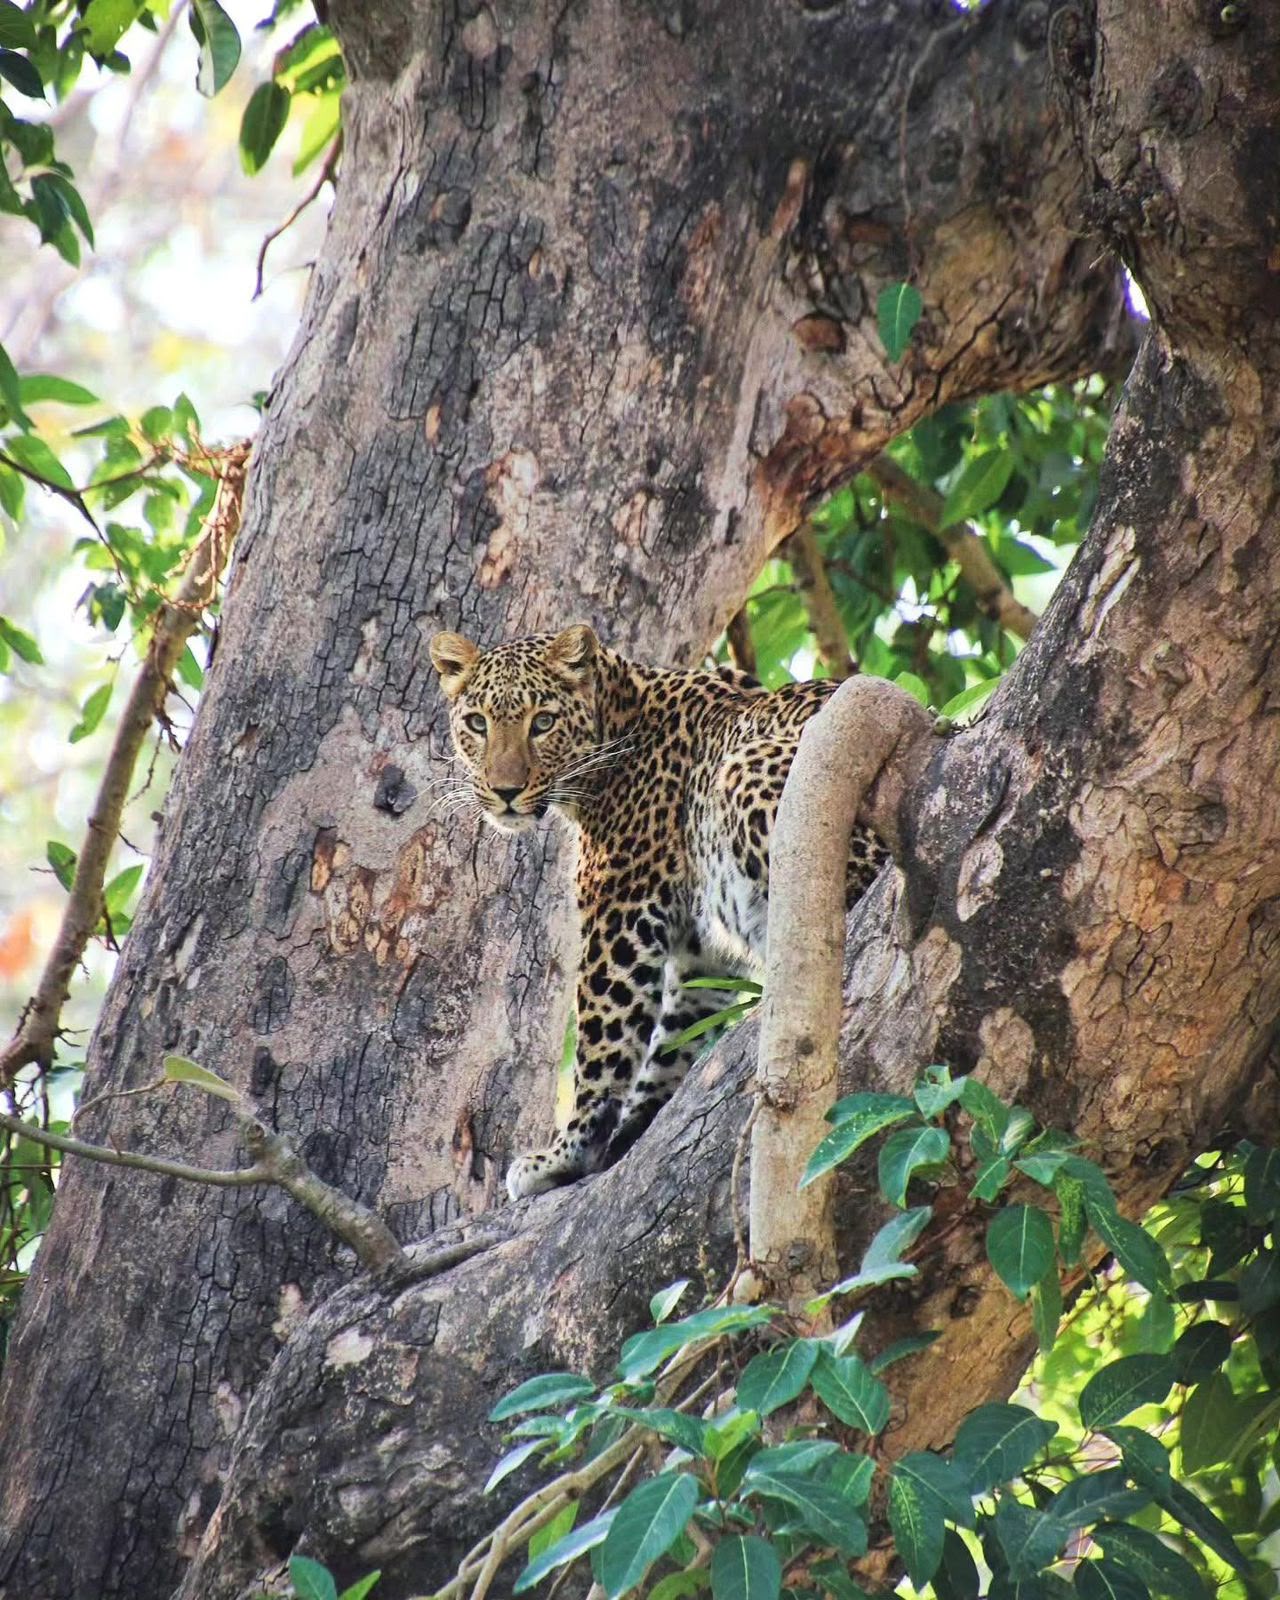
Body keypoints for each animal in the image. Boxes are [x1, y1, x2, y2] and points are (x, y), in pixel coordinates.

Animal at [429, 623, 889, 1200]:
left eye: (543, 722)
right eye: (477, 723)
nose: (505, 791)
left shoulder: (619, 913)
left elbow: (603, 1043)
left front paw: (563, 1155)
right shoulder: (701, 949)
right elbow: (673, 1040)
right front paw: (630, 1128)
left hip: (752, 776)